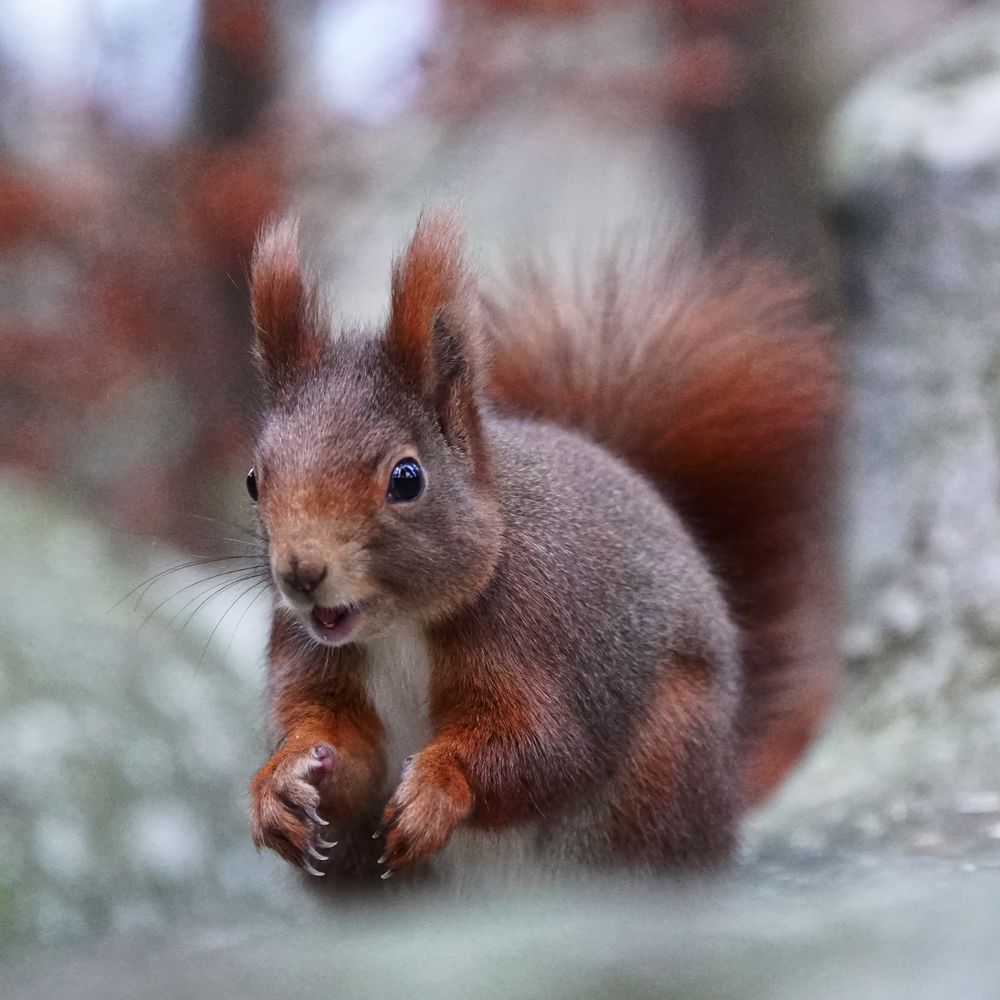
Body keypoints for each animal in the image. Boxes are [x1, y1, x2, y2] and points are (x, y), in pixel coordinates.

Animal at [245, 212, 839, 880]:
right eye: (253, 481)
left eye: (407, 478)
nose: (301, 573)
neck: (401, 629)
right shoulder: (313, 657)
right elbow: (341, 748)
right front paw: (283, 781)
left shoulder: (538, 638)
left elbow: (544, 747)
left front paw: (436, 787)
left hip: (664, 772)